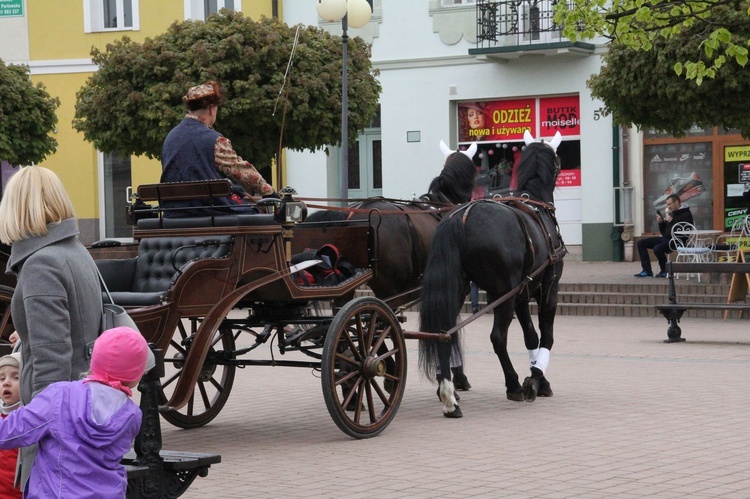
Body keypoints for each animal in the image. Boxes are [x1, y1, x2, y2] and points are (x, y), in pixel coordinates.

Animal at [418, 132, 568, 418]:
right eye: (558, 162)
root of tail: (461, 218)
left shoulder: (522, 292)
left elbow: (531, 336)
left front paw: (538, 378)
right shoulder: (548, 287)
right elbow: (547, 335)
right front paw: (535, 380)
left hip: (460, 290)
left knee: (444, 332)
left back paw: (448, 395)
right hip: (502, 293)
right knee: (498, 337)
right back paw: (513, 385)